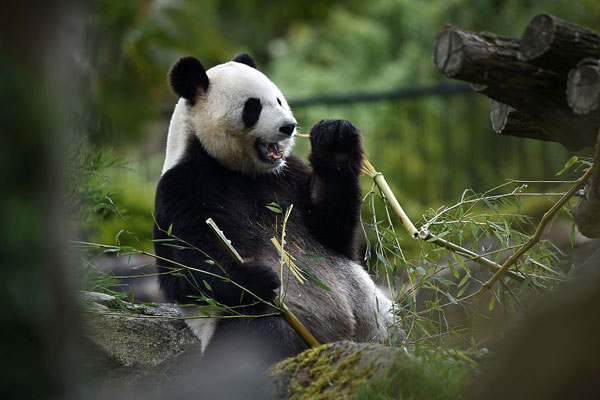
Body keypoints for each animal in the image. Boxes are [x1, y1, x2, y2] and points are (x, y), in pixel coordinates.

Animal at [154, 53, 404, 366]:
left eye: (279, 100)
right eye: (253, 107)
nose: (289, 126)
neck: (239, 171)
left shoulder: (286, 176)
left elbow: (333, 230)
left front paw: (335, 142)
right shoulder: (182, 189)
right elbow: (188, 264)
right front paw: (256, 278)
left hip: (377, 315)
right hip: (263, 319)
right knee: (256, 337)